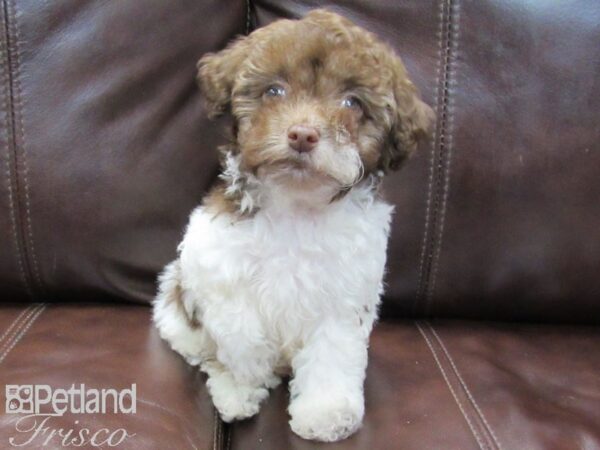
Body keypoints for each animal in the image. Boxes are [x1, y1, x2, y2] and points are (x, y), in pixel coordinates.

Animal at [152, 9, 434, 442]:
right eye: (274, 91)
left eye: (352, 103)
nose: (302, 134)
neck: (297, 205)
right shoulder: (218, 270)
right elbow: (241, 337)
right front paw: (244, 383)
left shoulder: (344, 295)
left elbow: (332, 353)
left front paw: (325, 412)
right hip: (177, 302)